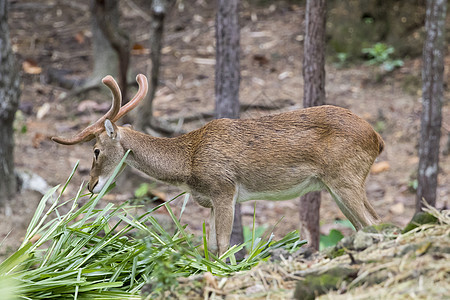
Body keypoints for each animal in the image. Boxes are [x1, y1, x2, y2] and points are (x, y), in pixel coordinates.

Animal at [52, 74, 384, 254]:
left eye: (95, 150)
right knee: (369, 223)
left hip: (344, 176)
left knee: (372, 223)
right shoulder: (210, 201)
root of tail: (378, 139)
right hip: (339, 184)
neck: (188, 163)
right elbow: (211, 246)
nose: (91, 186)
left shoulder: (224, 188)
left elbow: (225, 245)